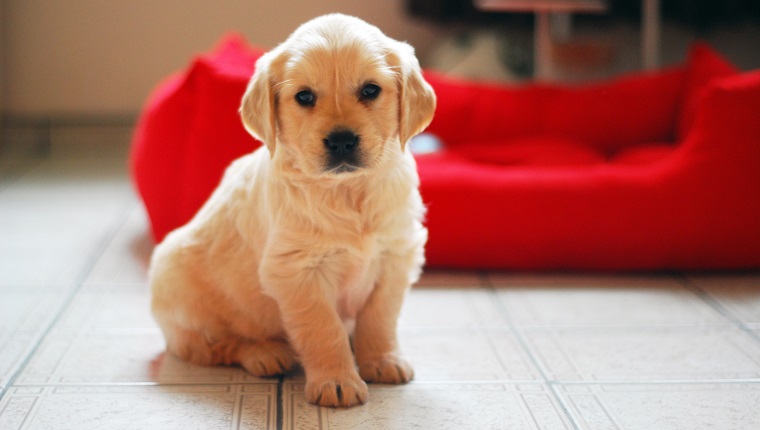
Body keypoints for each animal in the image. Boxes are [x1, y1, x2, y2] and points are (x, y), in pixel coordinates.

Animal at [148, 13, 434, 408]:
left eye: (370, 90)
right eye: (304, 96)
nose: (342, 141)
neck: (347, 191)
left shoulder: (396, 255)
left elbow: (379, 316)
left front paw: (382, 359)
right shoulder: (297, 270)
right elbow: (323, 327)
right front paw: (337, 380)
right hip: (180, 290)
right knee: (217, 344)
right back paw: (265, 353)